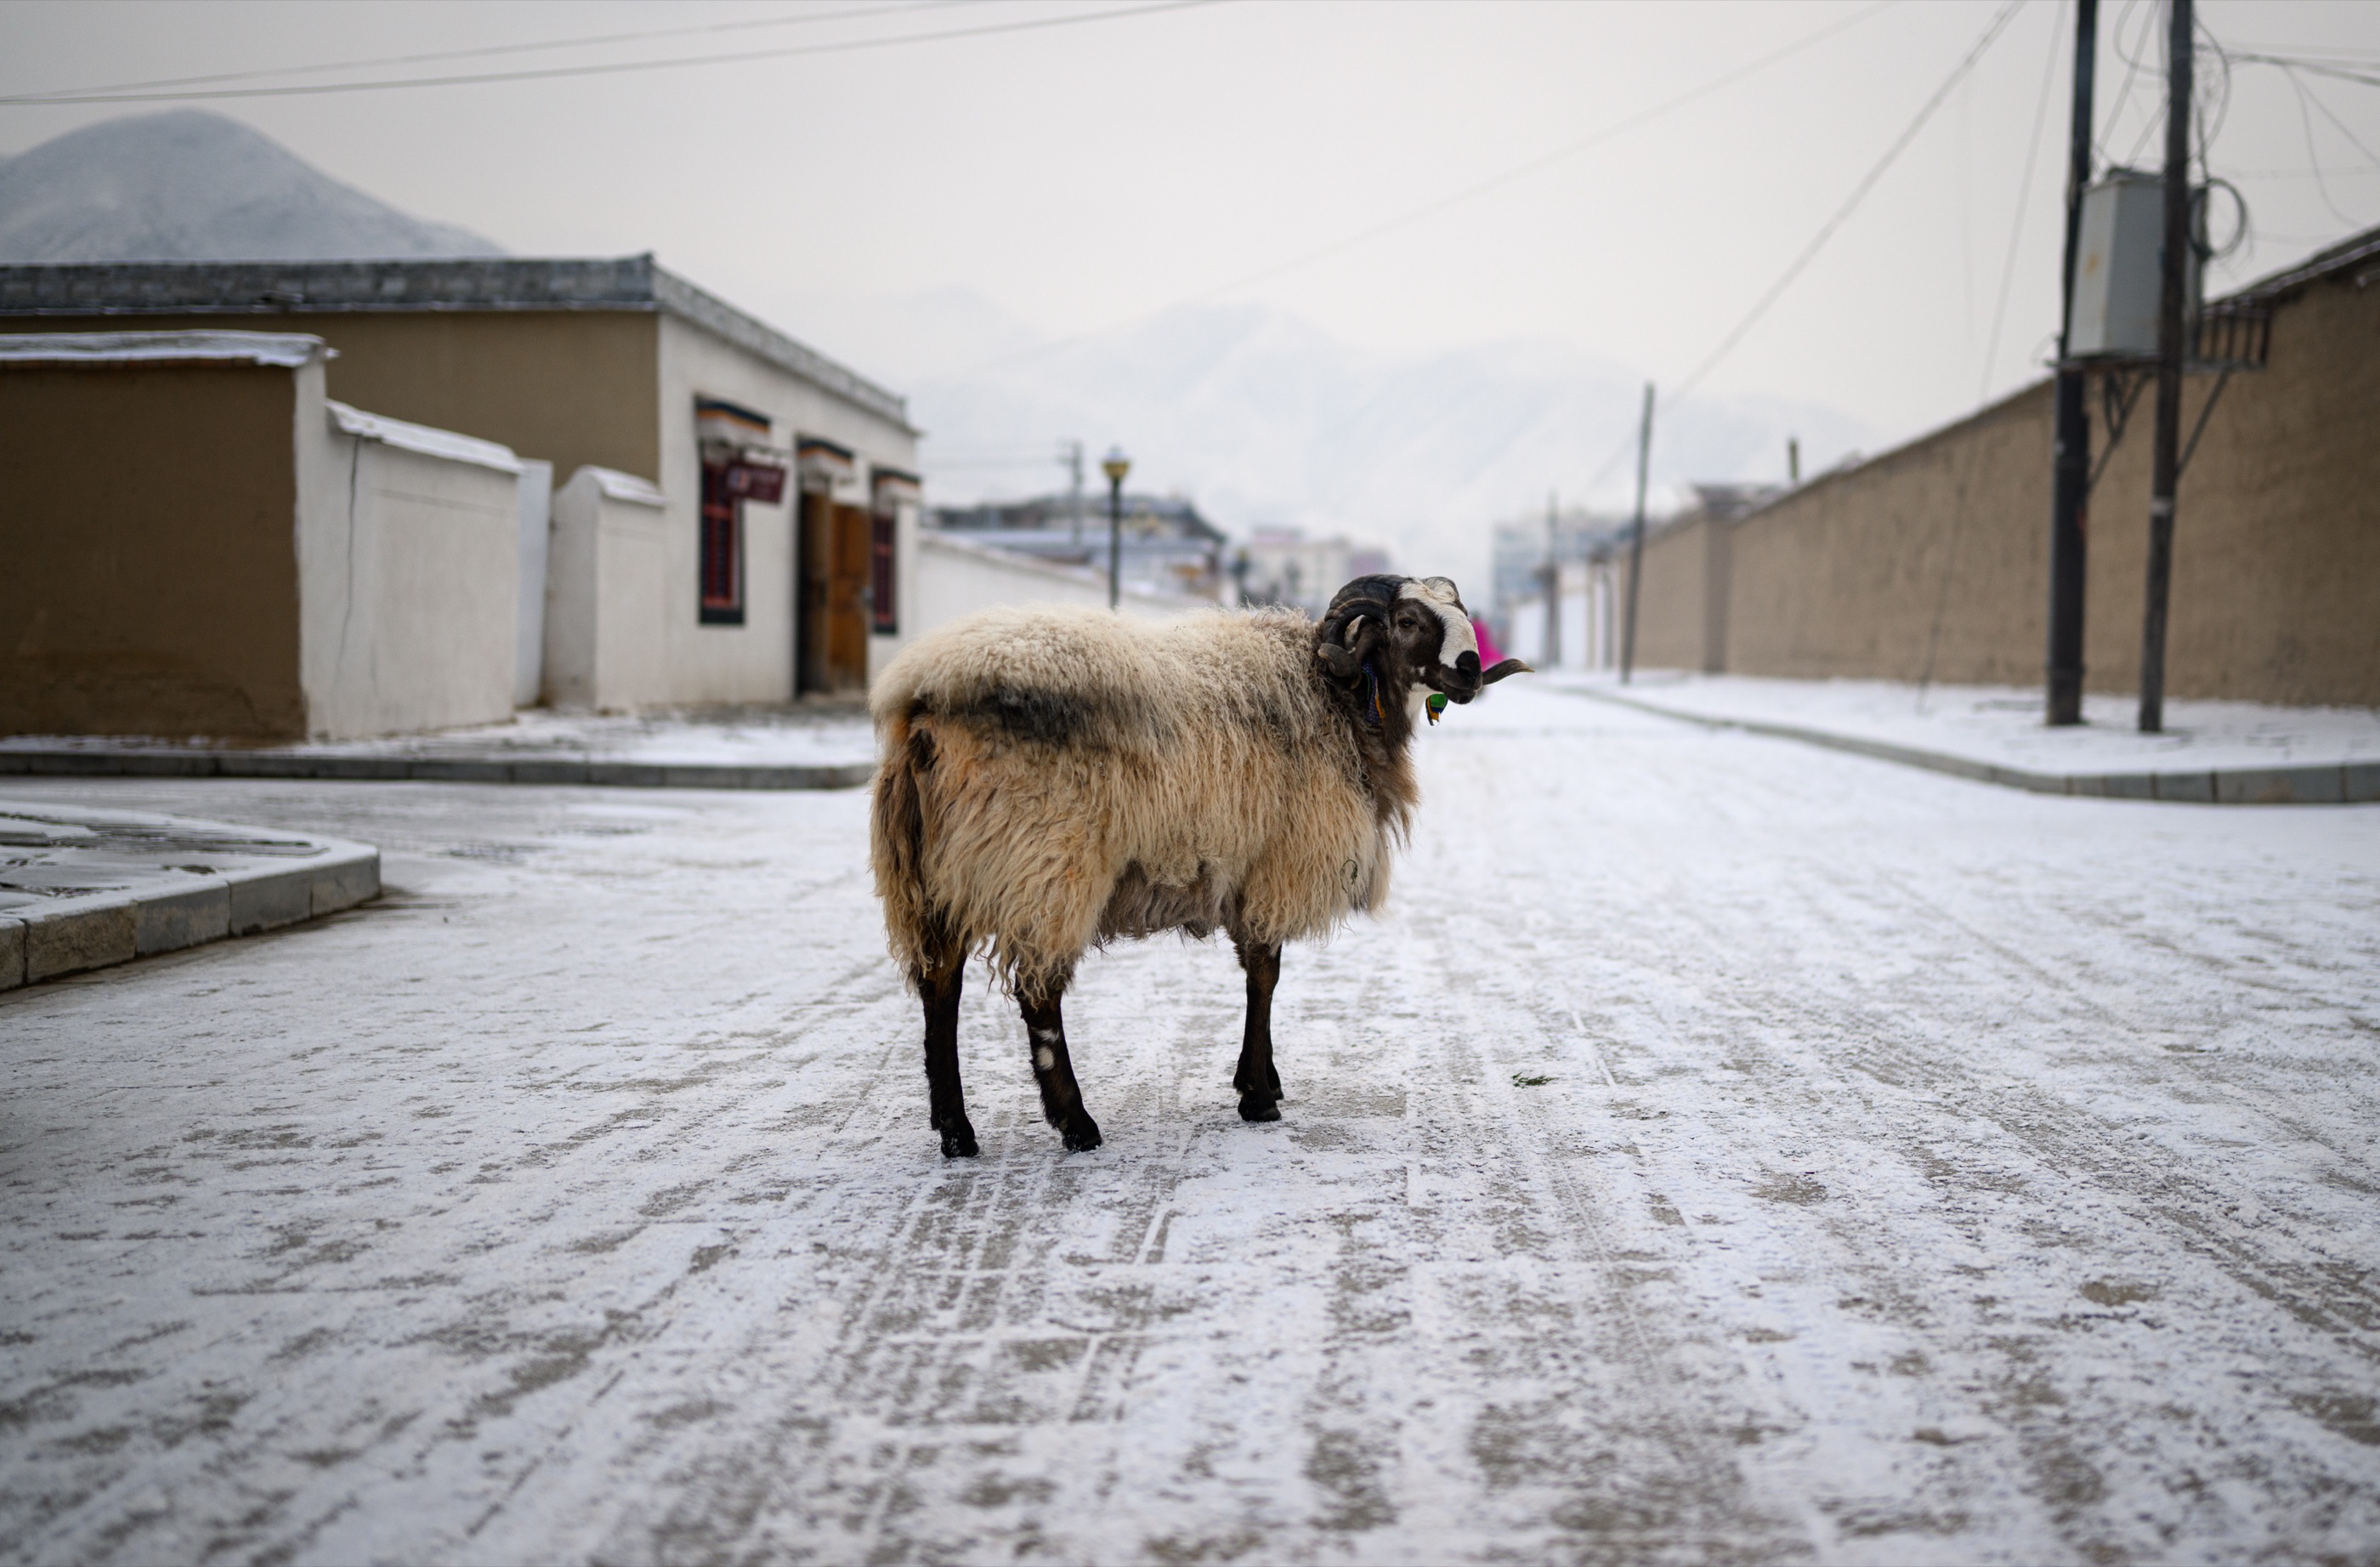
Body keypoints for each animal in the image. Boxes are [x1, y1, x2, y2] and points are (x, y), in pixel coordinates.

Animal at [869, 573, 1529, 1156]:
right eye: (1409, 620)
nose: (1470, 670)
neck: (1335, 700)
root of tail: (922, 705)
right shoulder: (1275, 863)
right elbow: (1265, 975)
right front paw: (1258, 1097)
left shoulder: (1248, 869)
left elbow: (1259, 973)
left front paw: (1262, 1080)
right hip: (1046, 862)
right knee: (1039, 995)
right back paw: (1075, 1124)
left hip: (934, 876)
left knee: (940, 986)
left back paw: (956, 1131)